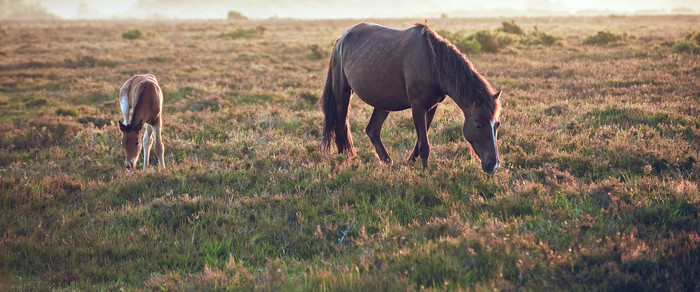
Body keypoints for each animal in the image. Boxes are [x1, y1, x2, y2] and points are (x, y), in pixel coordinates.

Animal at [320, 23, 500, 173]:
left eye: (497, 125)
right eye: (478, 125)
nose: (493, 165)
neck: (432, 62)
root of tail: (342, 39)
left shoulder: (431, 107)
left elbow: (420, 141)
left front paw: (410, 163)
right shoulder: (418, 106)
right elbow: (424, 145)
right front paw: (426, 173)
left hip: (383, 104)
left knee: (372, 130)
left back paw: (386, 161)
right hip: (342, 94)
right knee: (341, 128)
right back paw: (346, 160)